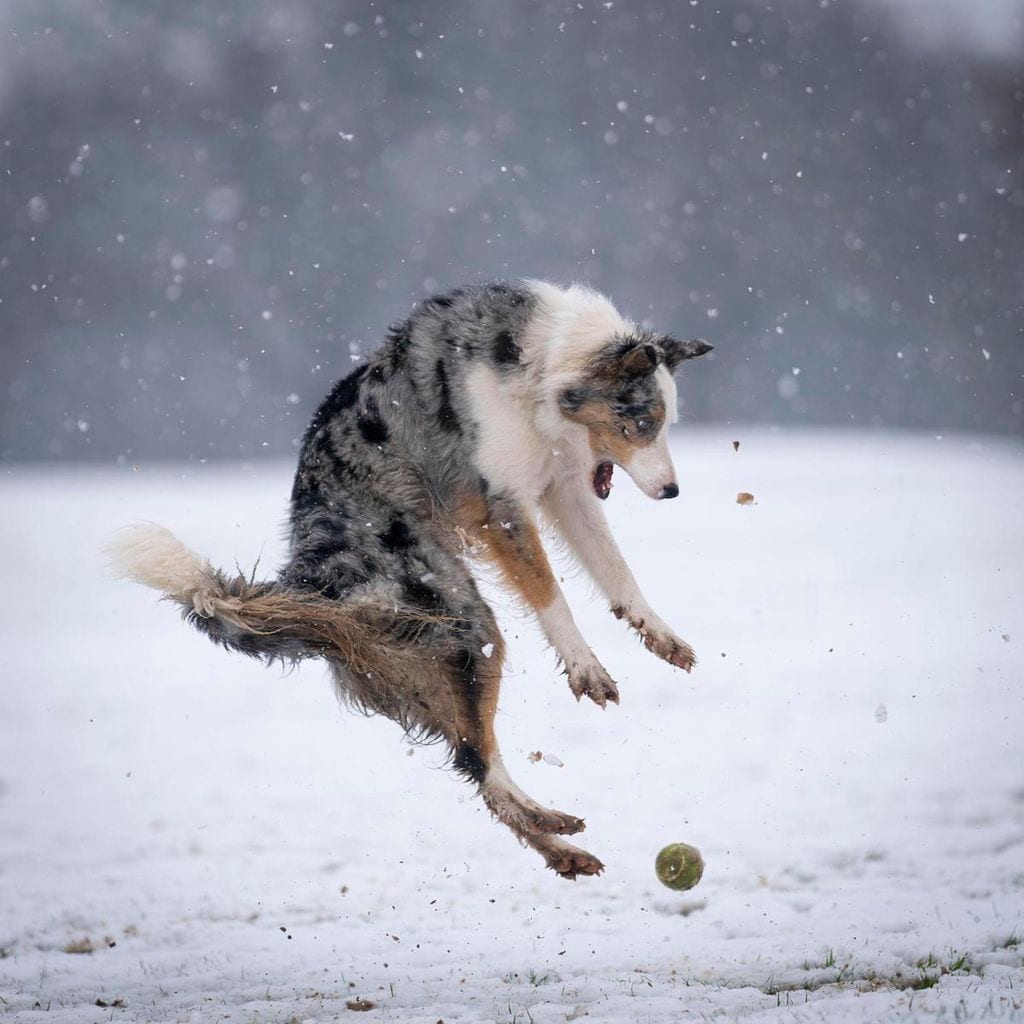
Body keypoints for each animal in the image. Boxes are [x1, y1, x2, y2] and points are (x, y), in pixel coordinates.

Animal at [108, 282, 708, 880]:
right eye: (641, 424)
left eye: (666, 424)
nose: (672, 491)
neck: (539, 363)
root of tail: (311, 578)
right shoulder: (503, 507)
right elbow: (549, 594)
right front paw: (586, 667)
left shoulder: (565, 489)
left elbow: (615, 569)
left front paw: (658, 633)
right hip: (465, 622)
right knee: (479, 762)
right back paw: (547, 819)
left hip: (441, 651)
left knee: (474, 763)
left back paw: (563, 847)